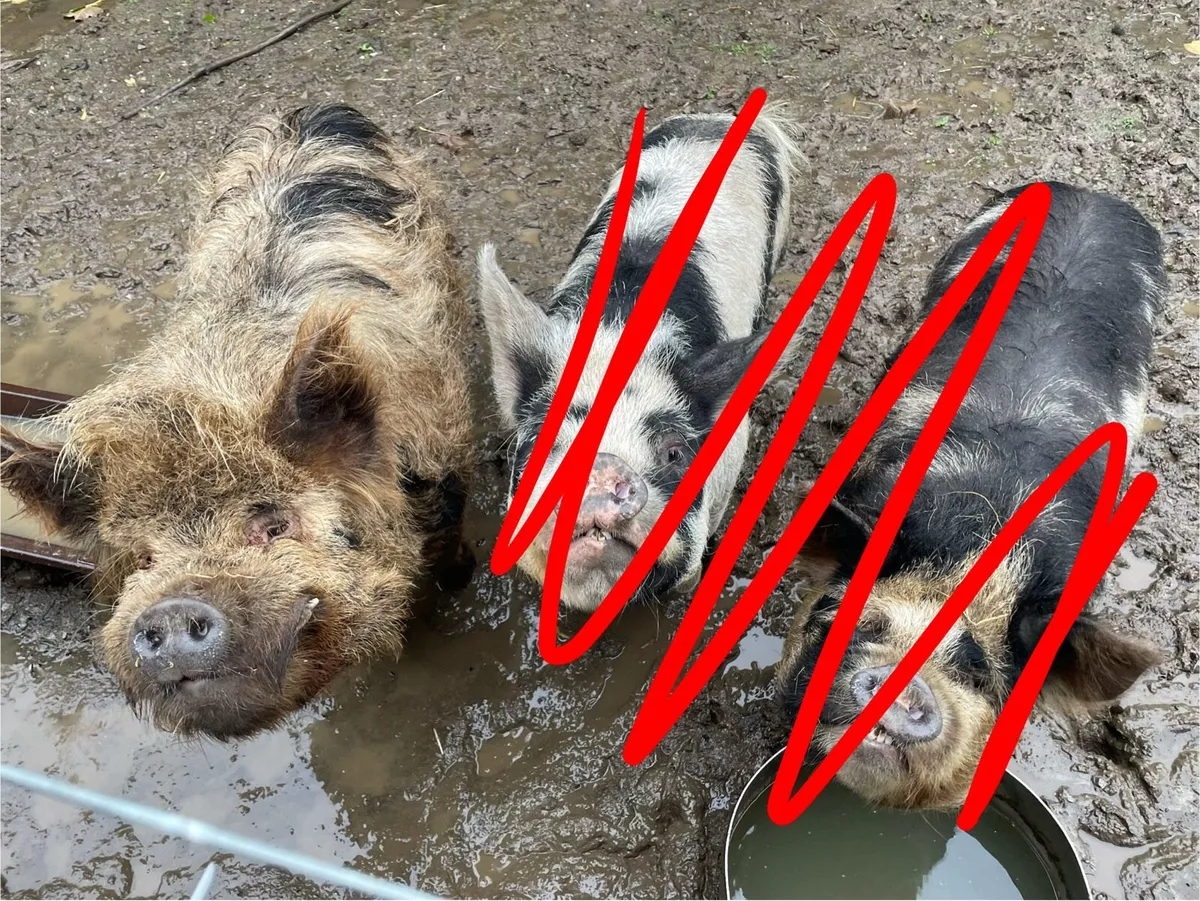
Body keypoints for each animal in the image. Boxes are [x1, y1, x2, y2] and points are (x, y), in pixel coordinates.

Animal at [0, 104, 475, 740]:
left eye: (274, 524)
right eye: (143, 560)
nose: (173, 608)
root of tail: (311, 109)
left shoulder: (444, 466)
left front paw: (458, 590)